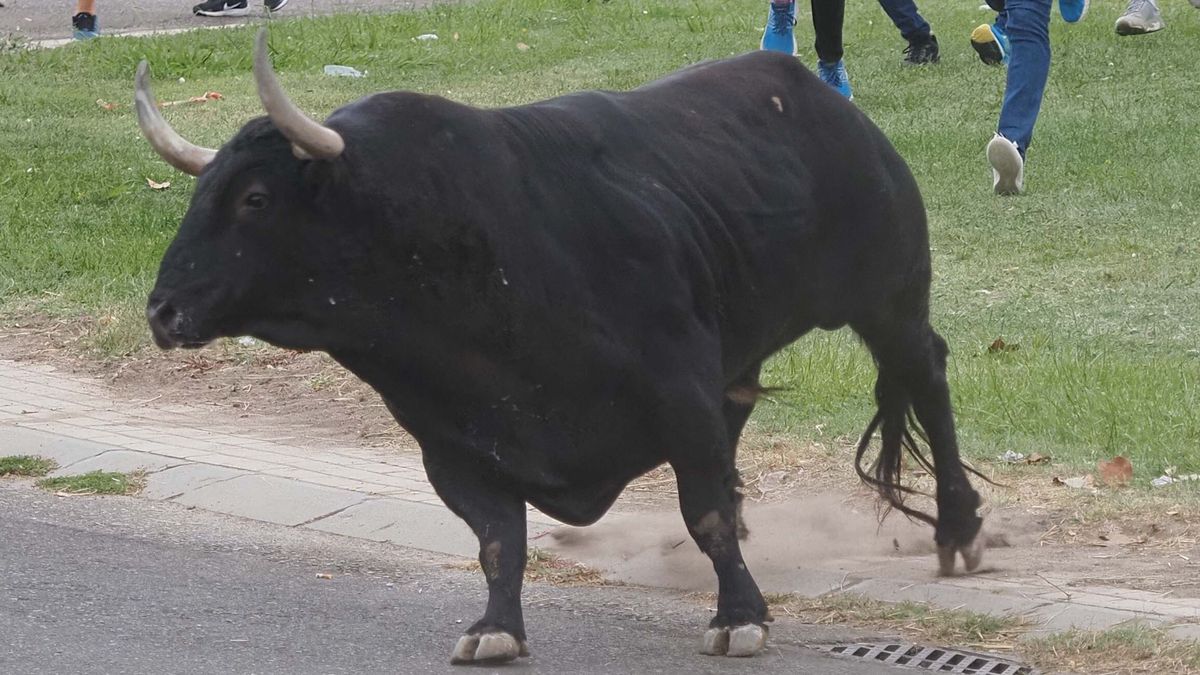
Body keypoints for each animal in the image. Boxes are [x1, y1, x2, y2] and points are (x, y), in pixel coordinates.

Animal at [140, 31, 984, 662]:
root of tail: (825, 101)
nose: (162, 309)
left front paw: (740, 613)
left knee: (927, 377)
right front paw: (495, 628)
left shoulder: (679, 393)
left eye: (254, 198)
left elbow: (704, 510)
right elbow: (497, 539)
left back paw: (959, 527)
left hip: (889, 298)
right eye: (198, 193)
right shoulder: (452, 442)